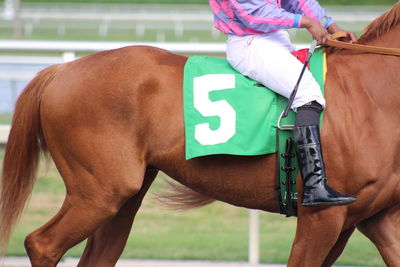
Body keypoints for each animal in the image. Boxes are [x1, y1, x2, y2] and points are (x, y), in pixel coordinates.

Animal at [0, 3, 400, 267]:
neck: (370, 95)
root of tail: (61, 70)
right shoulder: (322, 218)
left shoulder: (375, 218)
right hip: (98, 193)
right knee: (42, 244)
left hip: (122, 196)